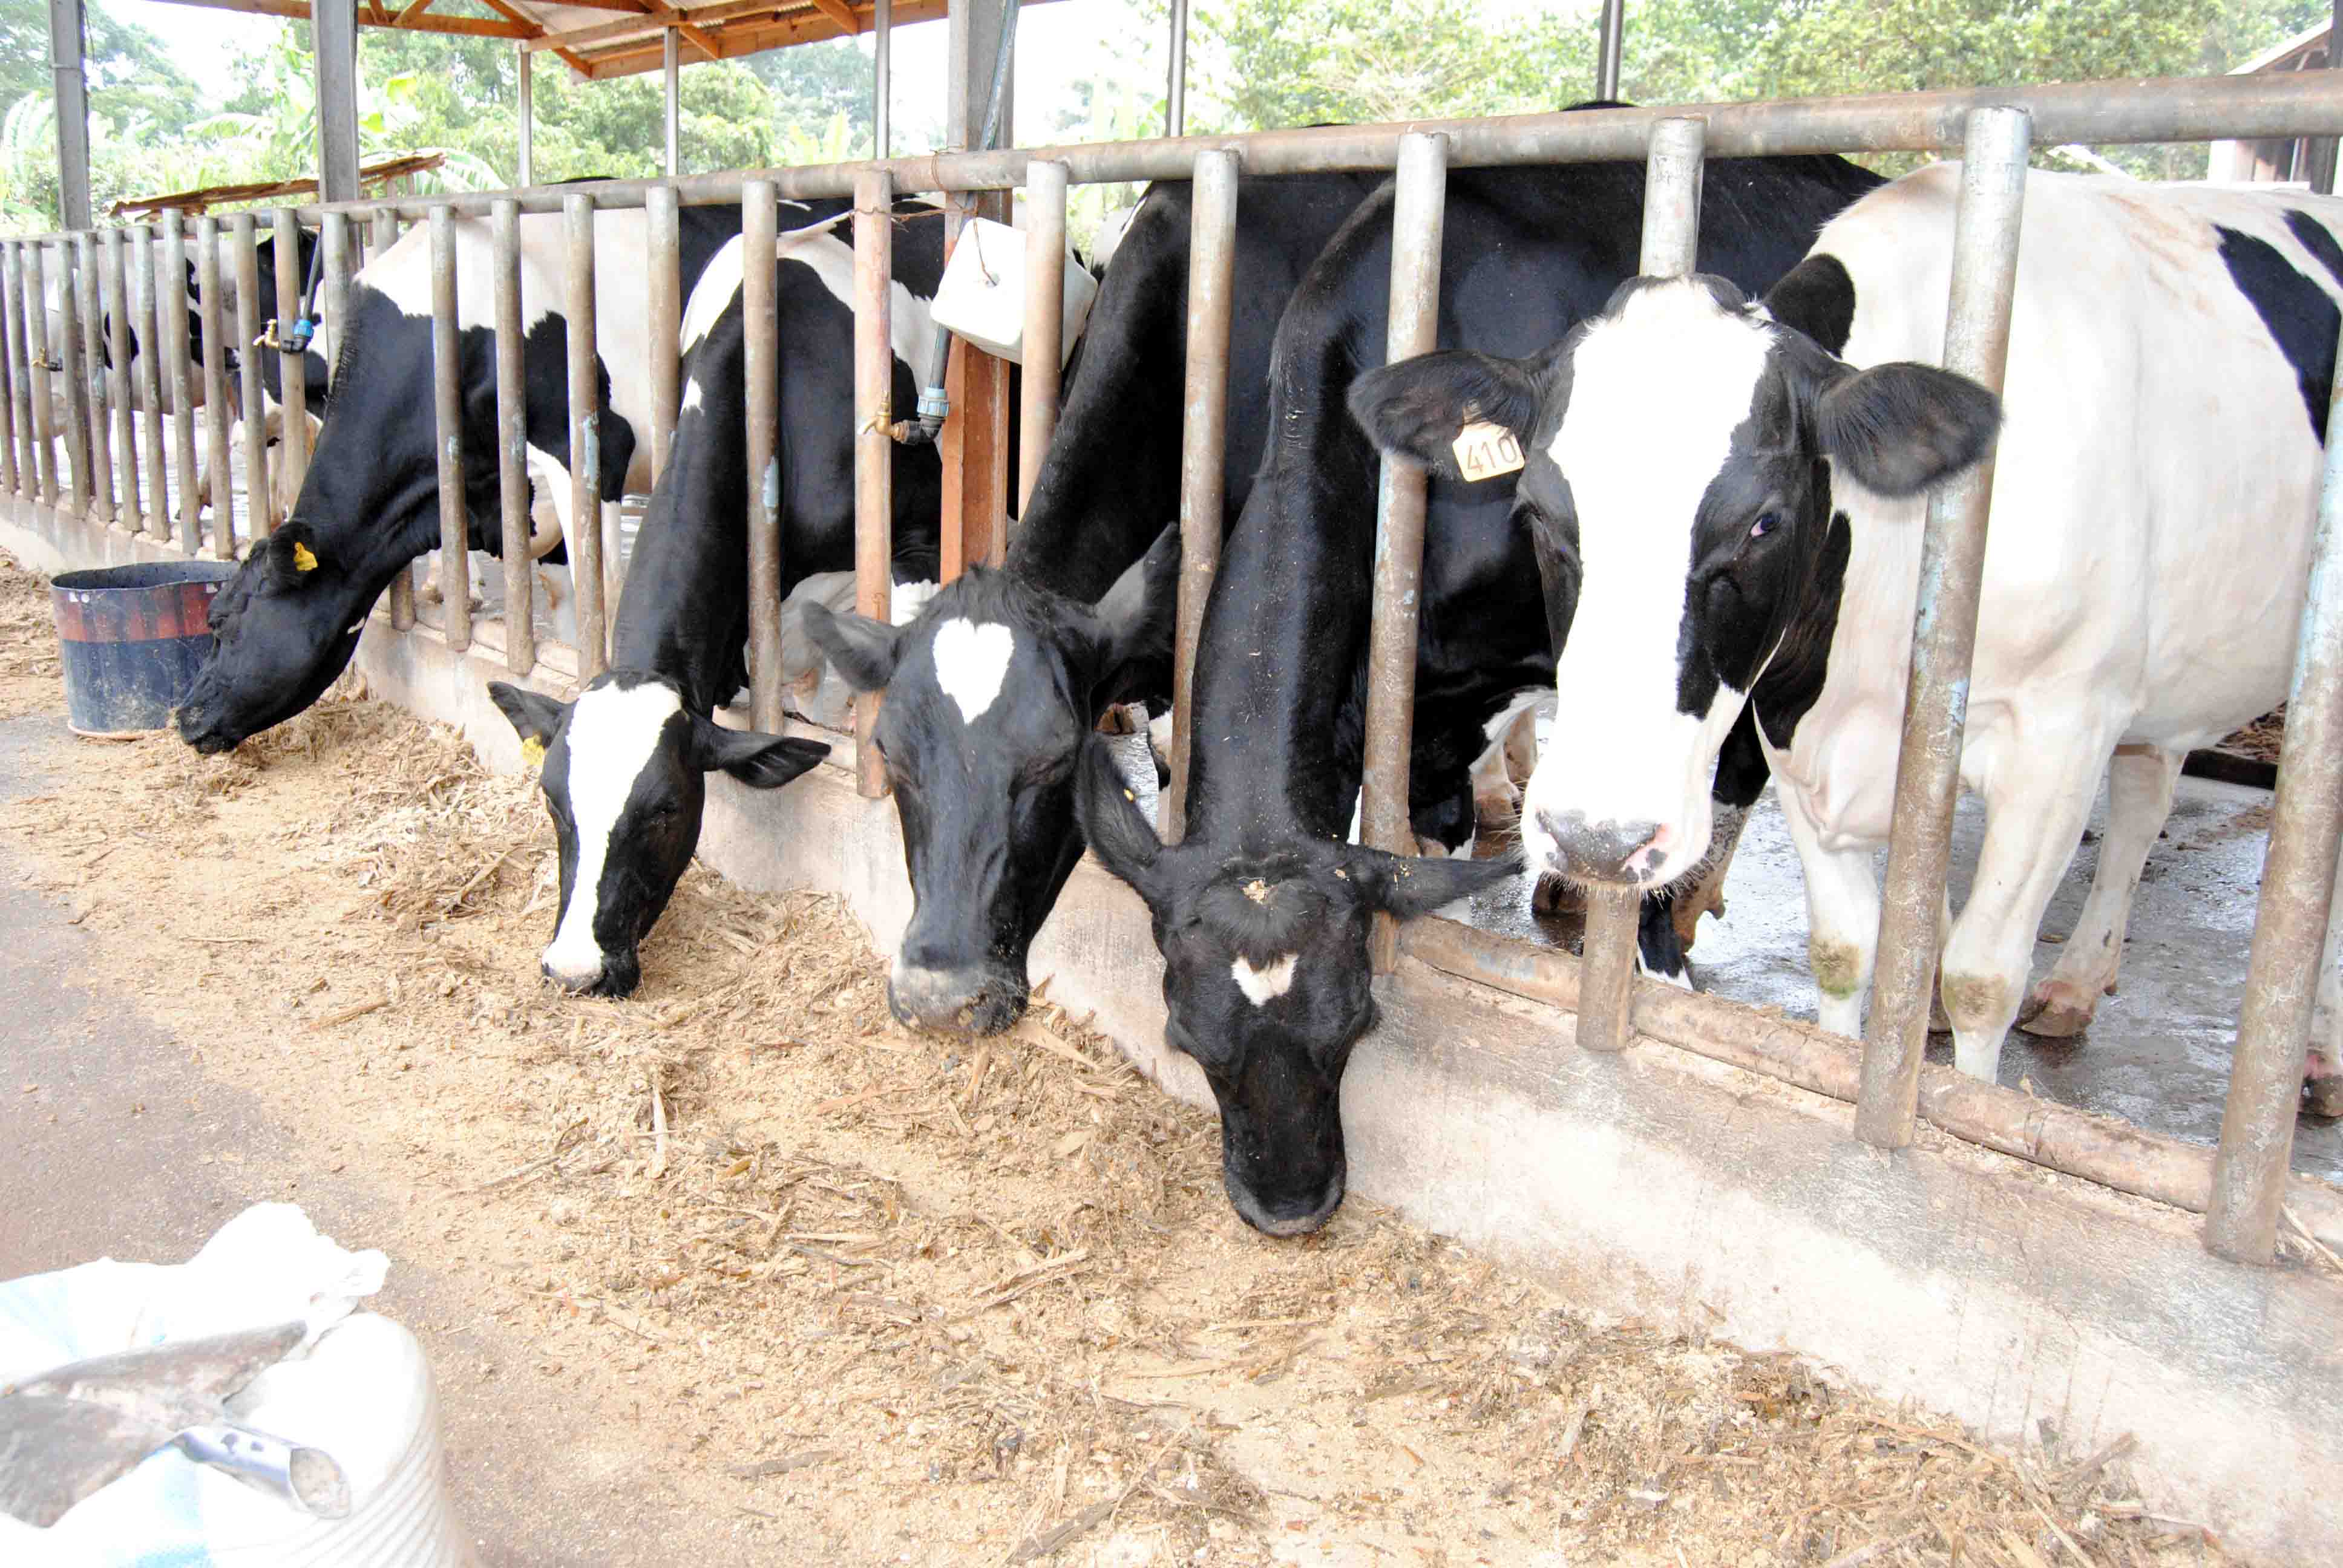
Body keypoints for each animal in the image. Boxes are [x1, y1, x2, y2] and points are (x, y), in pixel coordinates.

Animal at [1351, 167, 2343, 1099]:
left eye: (1764, 523)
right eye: (1537, 514)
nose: (1598, 840)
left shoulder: (2057, 739)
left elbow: (1982, 981)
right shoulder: (1798, 732)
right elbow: (1844, 952)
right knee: (2146, 794)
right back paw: (2077, 982)